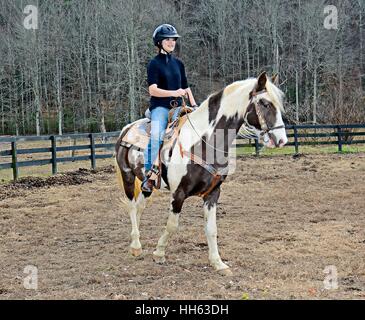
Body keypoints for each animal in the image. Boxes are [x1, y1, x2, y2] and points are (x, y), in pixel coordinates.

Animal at [115, 72, 286, 276]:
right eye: (265, 103)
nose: (282, 140)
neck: (204, 142)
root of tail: (127, 128)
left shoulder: (213, 194)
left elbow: (211, 229)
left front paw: (218, 263)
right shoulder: (178, 194)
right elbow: (172, 225)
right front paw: (159, 253)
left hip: (146, 184)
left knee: (140, 206)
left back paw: (138, 243)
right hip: (127, 176)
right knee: (132, 207)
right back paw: (135, 245)